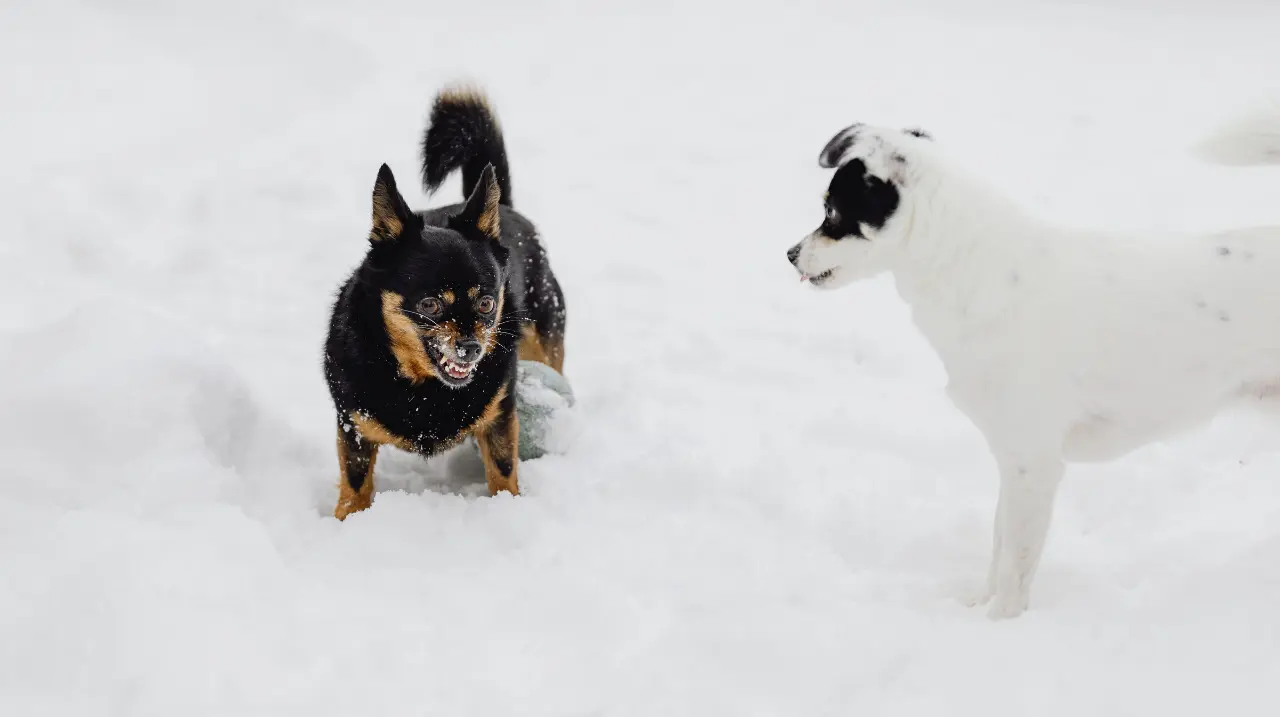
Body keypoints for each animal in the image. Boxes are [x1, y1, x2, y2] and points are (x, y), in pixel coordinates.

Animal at [325, 86, 566, 520]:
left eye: (486, 303)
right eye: (430, 306)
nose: (471, 348)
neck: (423, 386)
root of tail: (506, 208)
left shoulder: (500, 417)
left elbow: (503, 472)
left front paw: (508, 511)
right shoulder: (352, 426)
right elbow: (354, 484)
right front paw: (346, 522)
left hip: (547, 337)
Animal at [787, 113, 1280, 618]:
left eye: (832, 212)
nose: (790, 255)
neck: (969, 269)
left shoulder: (1033, 463)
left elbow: (1016, 562)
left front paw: (1002, 620)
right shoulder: (1010, 458)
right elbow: (998, 544)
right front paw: (979, 609)